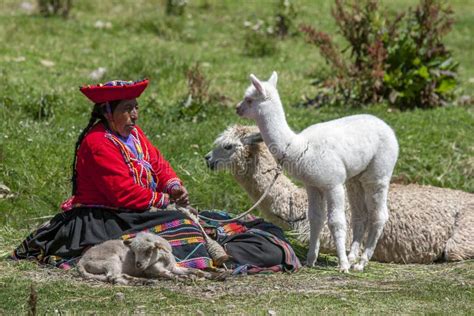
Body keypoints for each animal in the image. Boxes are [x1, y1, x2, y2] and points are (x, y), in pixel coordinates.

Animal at [77, 231, 217, 286]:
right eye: (133, 252)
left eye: (149, 250)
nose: (138, 265)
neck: (163, 260)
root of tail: (81, 261)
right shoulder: (153, 269)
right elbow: (169, 274)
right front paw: (185, 278)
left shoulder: (173, 266)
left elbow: (193, 270)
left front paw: (211, 275)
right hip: (111, 260)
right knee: (113, 277)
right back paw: (141, 281)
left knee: (114, 277)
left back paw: (138, 280)